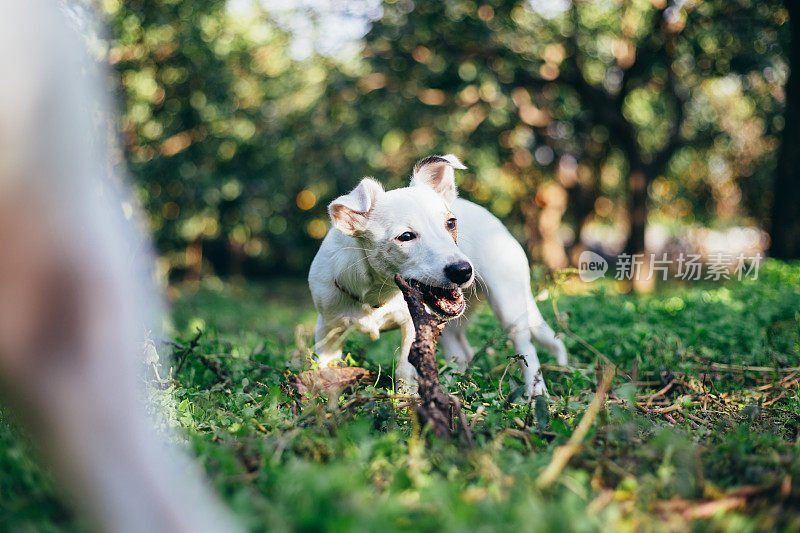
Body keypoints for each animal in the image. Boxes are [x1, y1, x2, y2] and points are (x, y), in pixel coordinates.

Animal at [308, 154, 568, 394]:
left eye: (451, 223)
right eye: (405, 236)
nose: (463, 271)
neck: (377, 294)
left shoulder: (413, 324)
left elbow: (405, 369)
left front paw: (406, 404)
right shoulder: (327, 330)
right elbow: (325, 371)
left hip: (508, 305)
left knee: (526, 349)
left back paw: (536, 393)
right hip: (450, 326)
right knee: (462, 354)